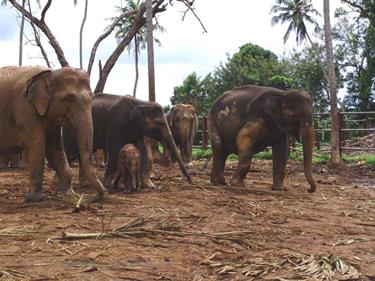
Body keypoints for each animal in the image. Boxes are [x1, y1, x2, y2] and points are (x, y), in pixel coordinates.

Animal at [0, 66, 107, 201]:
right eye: (69, 99)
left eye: (92, 98)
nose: (102, 194)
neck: (52, 73)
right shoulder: (25, 108)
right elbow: (37, 145)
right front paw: (36, 199)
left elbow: (54, 149)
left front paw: (69, 195)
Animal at [63, 93, 192, 188]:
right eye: (160, 123)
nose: (191, 181)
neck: (141, 102)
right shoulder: (116, 123)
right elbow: (114, 148)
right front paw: (108, 185)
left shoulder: (137, 129)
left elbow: (142, 149)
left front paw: (151, 186)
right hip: (72, 128)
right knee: (71, 152)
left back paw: (84, 184)